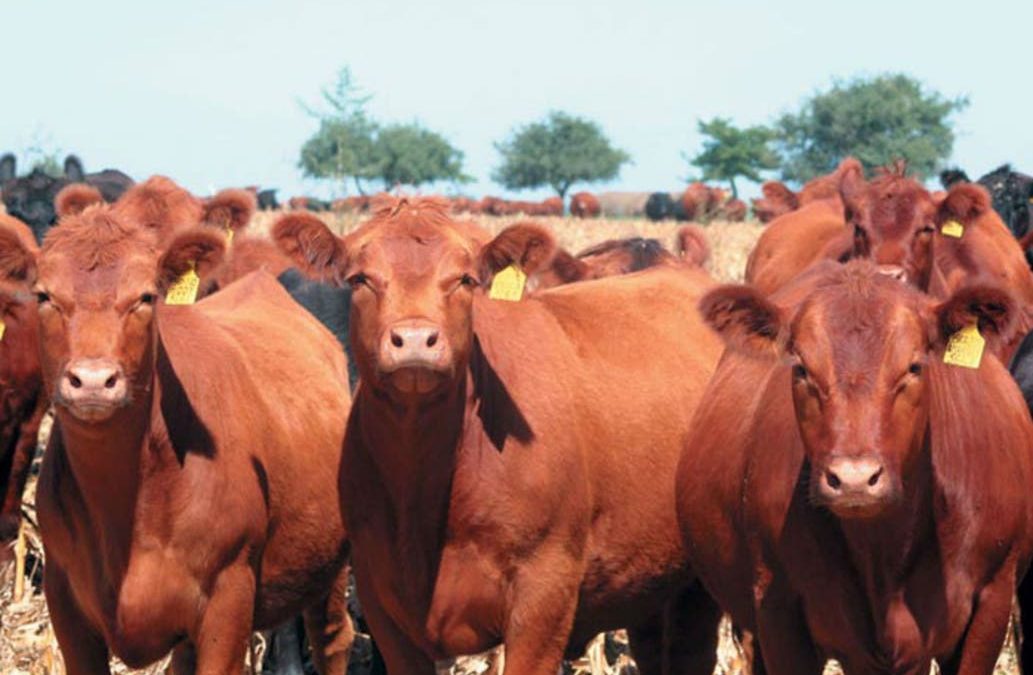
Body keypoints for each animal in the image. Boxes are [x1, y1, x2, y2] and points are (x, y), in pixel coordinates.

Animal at [1, 199, 357, 674]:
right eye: (44, 296)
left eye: (146, 297)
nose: (93, 380)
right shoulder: (66, 604)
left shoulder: (229, 600)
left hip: (329, 566)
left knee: (332, 638)